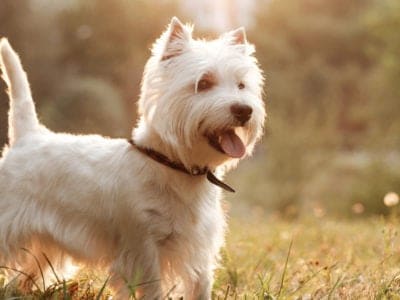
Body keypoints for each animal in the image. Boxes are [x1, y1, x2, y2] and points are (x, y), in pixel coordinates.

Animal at [0, 17, 266, 298]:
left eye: (241, 85)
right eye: (203, 83)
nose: (244, 110)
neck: (175, 165)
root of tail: (28, 135)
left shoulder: (198, 249)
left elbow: (200, 287)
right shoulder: (143, 247)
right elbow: (153, 288)